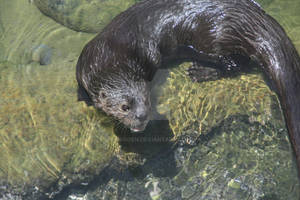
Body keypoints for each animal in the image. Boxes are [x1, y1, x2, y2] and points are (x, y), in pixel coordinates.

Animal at [76, 0, 300, 175]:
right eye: (125, 107)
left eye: (147, 100)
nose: (142, 116)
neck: (110, 56)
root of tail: (255, 19)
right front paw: (83, 97)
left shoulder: (151, 57)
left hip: (216, 37)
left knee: (237, 64)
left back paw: (202, 72)